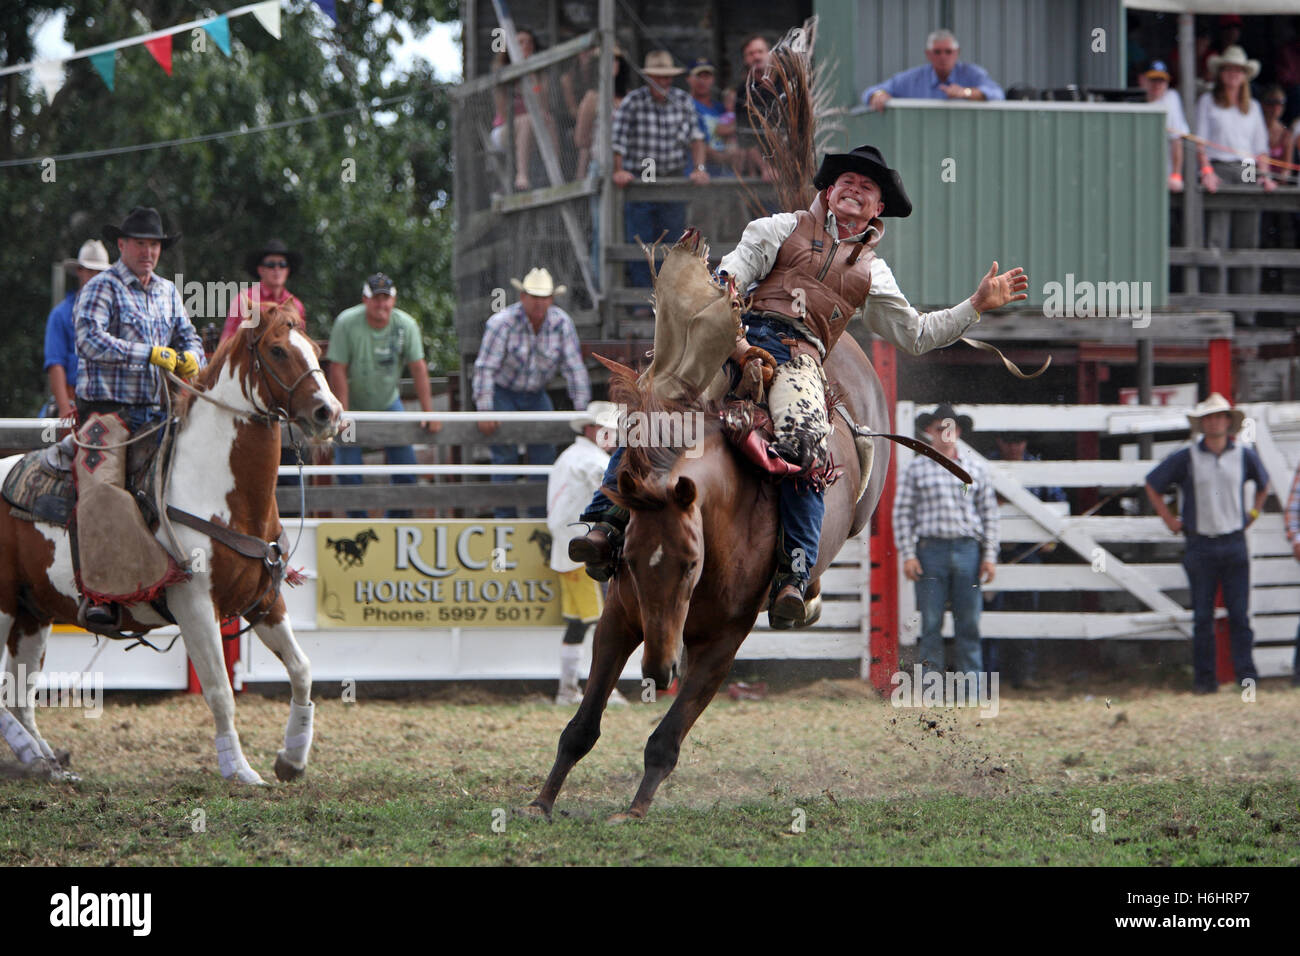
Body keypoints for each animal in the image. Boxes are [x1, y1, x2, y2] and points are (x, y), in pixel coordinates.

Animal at [0, 314, 340, 785]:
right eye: (277, 350)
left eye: (314, 348)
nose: (330, 412)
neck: (218, 489)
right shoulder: (195, 604)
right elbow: (220, 690)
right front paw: (238, 769)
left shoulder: (265, 600)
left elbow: (302, 669)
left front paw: (291, 758)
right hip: (3, 605)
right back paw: (35, 756)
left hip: (32, 613)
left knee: (19, 693)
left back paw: (44, 762)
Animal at [522, 335, 889, 822]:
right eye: (631, 559)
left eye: (692, 563)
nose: (659, 670)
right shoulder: (620, 617)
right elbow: (581, 728)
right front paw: (541, 802)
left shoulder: (723, 641)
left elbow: (665, 740)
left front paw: (635, 811)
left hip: (858, 509)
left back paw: (797, 595)